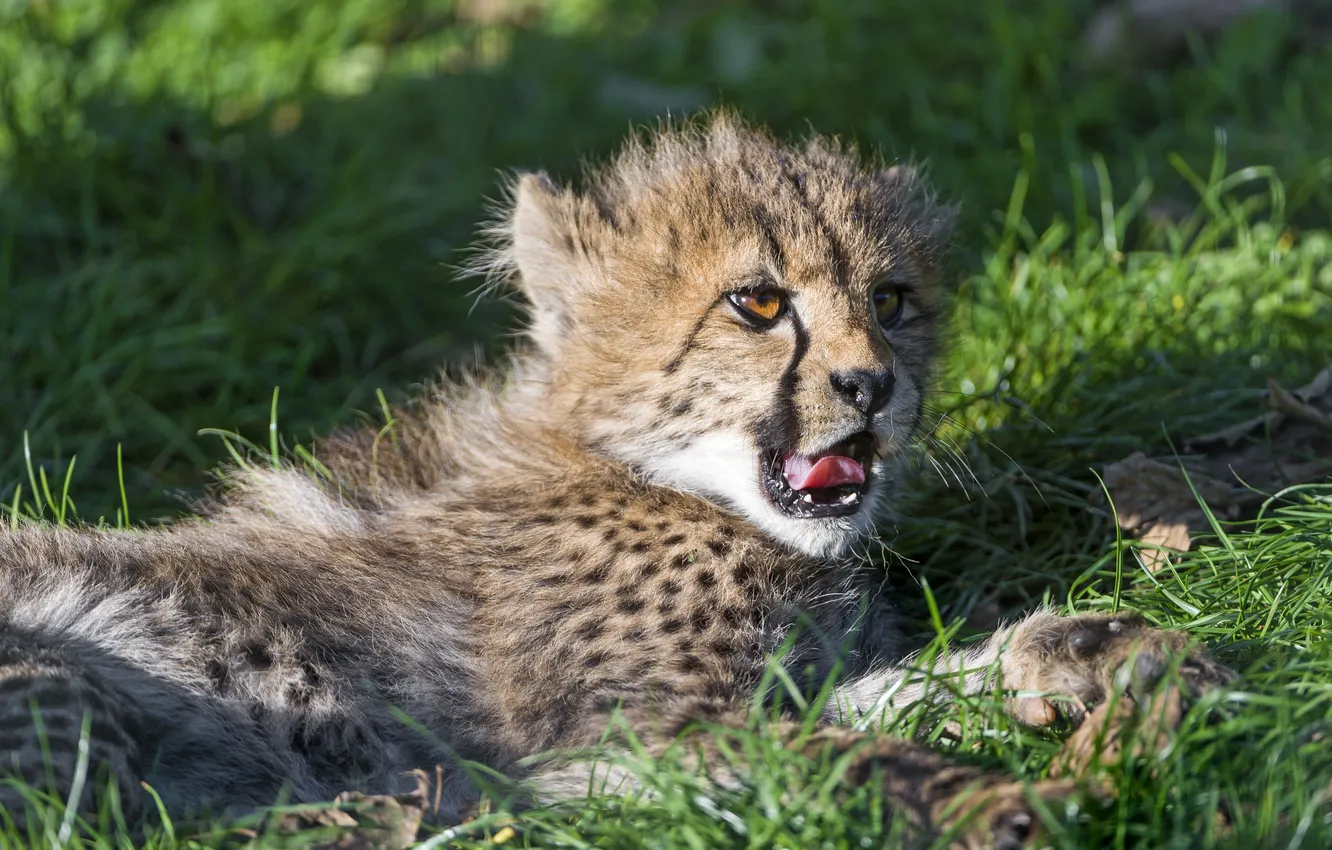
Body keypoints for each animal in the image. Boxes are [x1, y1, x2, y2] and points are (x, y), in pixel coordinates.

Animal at [0, 112, 1232, 848]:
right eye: (758, 303)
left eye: (893, 302)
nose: (873, 385)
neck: (658, 477)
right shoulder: (636, 735)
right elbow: (843, 748)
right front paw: (1008, 799)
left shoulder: (751, 694)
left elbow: (901, 687)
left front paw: (1107, 651)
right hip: (61, 666)